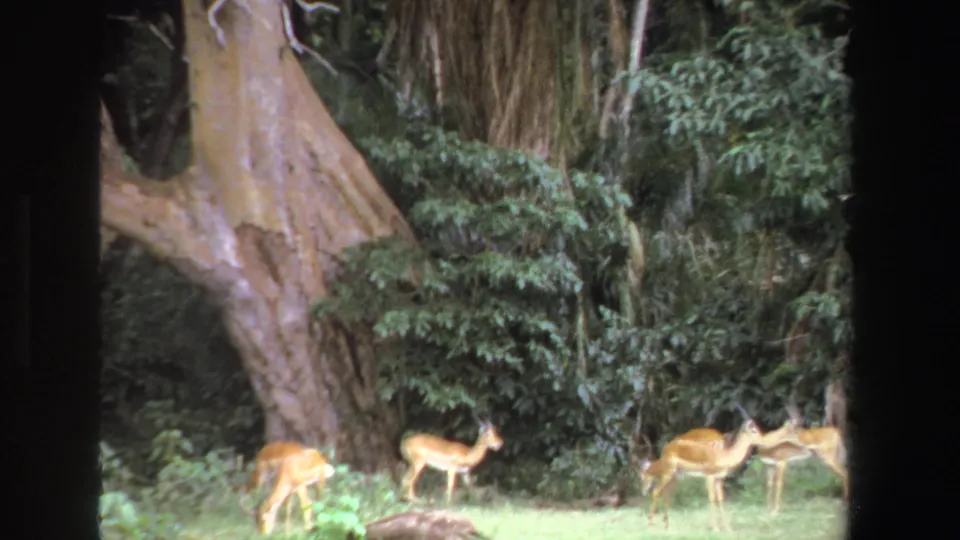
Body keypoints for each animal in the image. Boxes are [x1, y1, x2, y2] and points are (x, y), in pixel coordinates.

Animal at [638, 404, 802, 532]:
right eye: (753, 430)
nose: (763, 440)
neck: (724, 455)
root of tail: (667, 448)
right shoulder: (709, 477)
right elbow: (712, 499)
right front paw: (715, 528)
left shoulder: (718, 479)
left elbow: (721, 499)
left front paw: (727, 528)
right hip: (669, 473)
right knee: (657, 491)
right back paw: (651, 525)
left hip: (676, 476)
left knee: (665, 493)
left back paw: (666, 526)